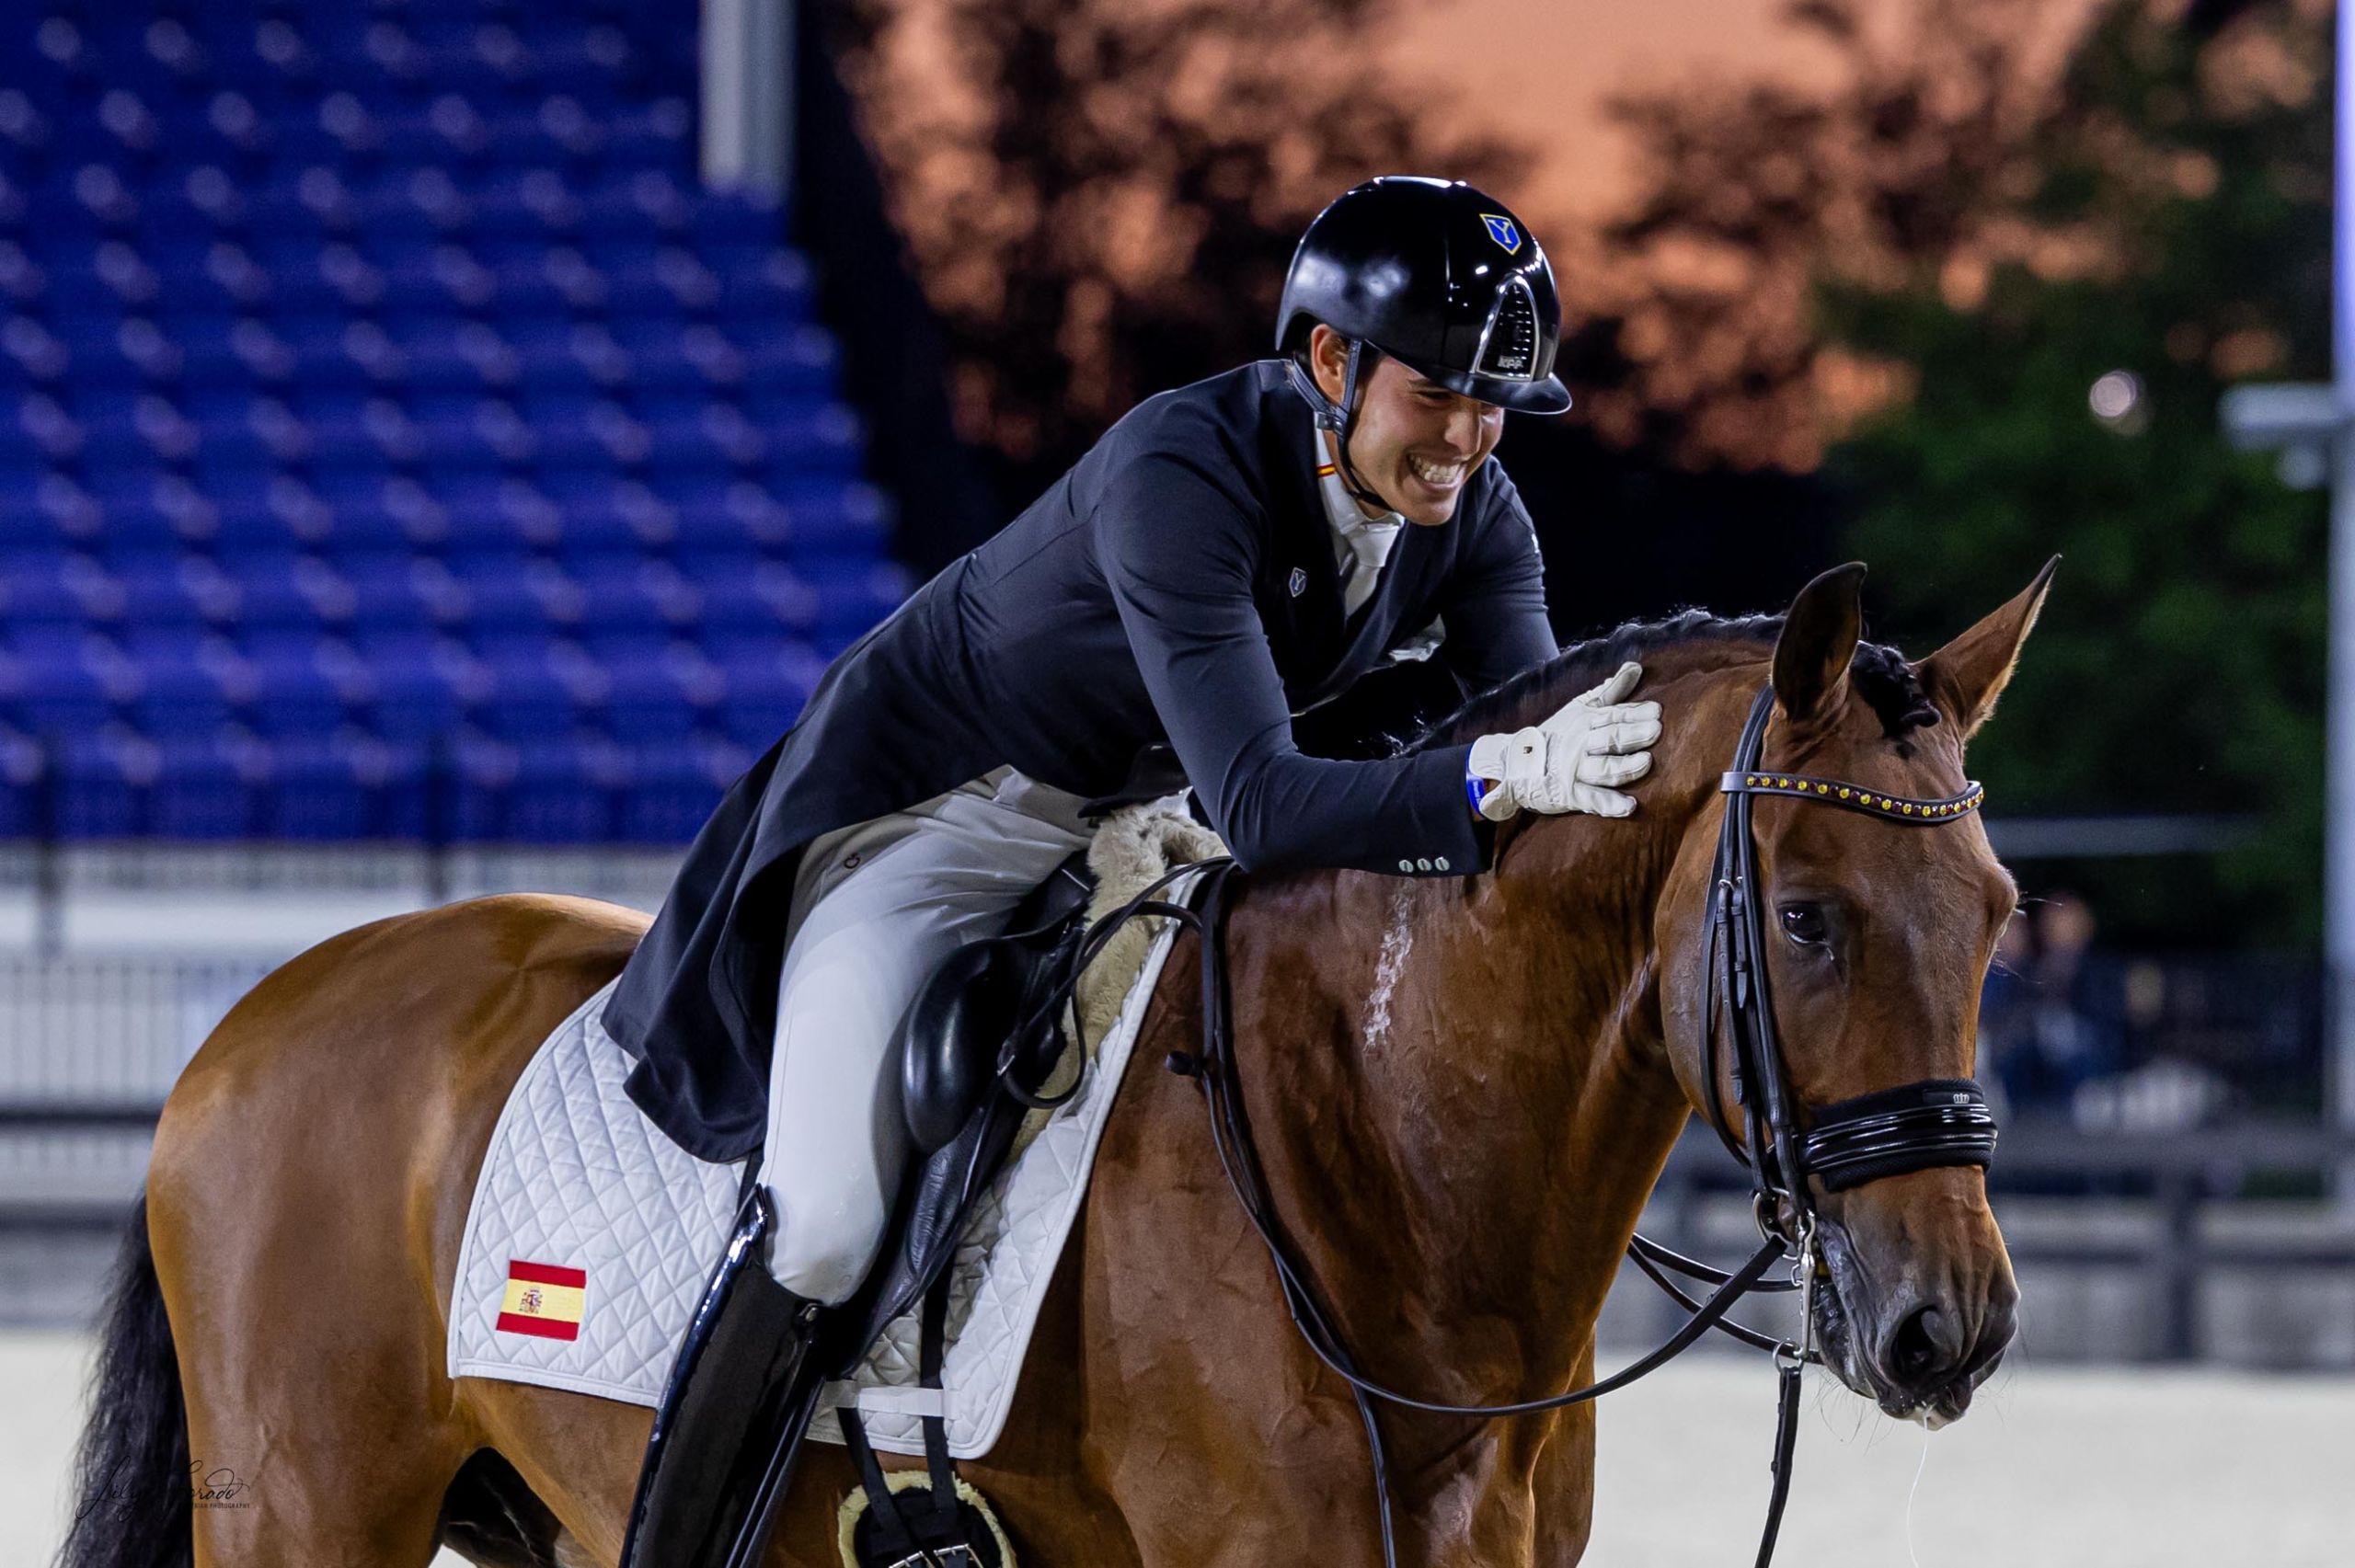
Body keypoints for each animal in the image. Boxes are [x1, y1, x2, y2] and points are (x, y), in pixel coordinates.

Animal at [59, 555, 2044, 1553]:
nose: (1947, 1330)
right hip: (310, 1507)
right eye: (1808, 921)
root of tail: (258, 1016)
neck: (1382, 1162)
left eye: (1999, 912)